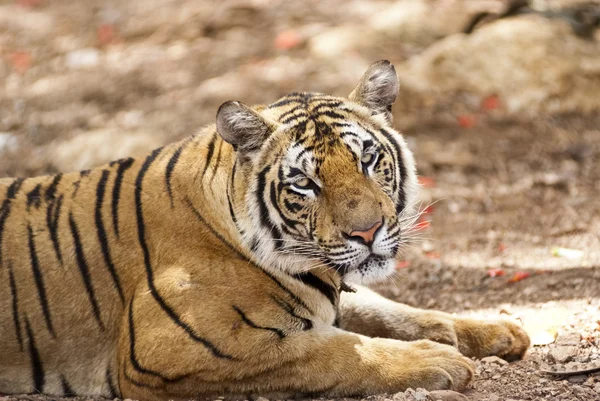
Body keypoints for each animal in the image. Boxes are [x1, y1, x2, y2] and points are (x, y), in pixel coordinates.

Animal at [0, 60, 528, 400]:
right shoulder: (174, 348)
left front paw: (497, 330)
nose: (368, 232)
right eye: (305, 182)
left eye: (367, 159)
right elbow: (335, 353)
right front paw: (438, 362)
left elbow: (396, 312)